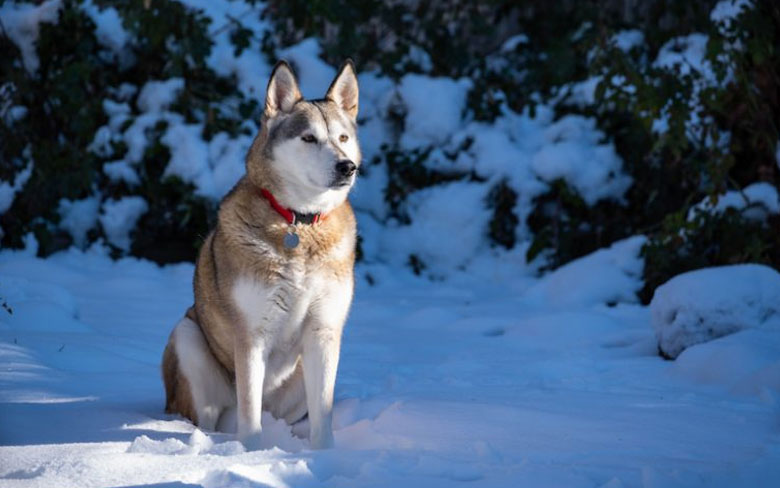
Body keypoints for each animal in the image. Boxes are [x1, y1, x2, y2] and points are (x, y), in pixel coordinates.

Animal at [162, 60, 362, 450]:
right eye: (308, 138)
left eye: (343, 138)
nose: (347, 166)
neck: (300, 223)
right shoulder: (251, 335)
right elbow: (249, 411)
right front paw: (252, 454)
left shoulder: (324, 331)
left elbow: (324, 412)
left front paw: (324, 455)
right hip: (187, 339)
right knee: (209, 416)